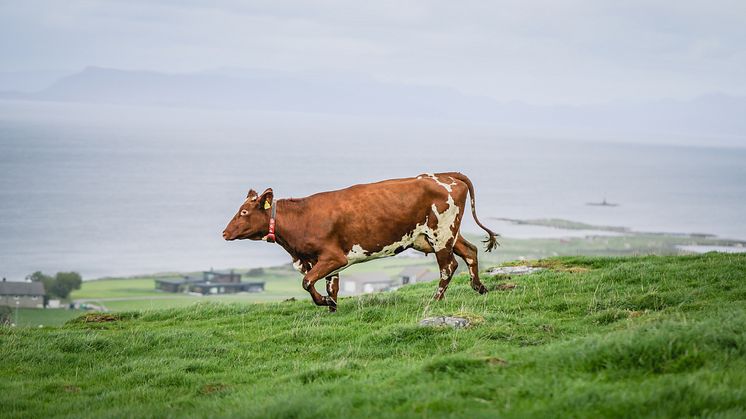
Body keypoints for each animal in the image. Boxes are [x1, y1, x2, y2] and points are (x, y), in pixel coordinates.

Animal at [224, 171, 496, 312]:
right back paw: (480, 288)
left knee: (448, 266)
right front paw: (331, 309)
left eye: (244, 212)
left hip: (441, 233)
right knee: (470, 251)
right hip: (439, 235)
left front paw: (325, 303)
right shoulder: (324, 261)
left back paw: (435, 300)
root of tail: (441, 175)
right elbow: (331, 286)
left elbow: (307, 282)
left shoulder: (333, 256)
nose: (224, 233)